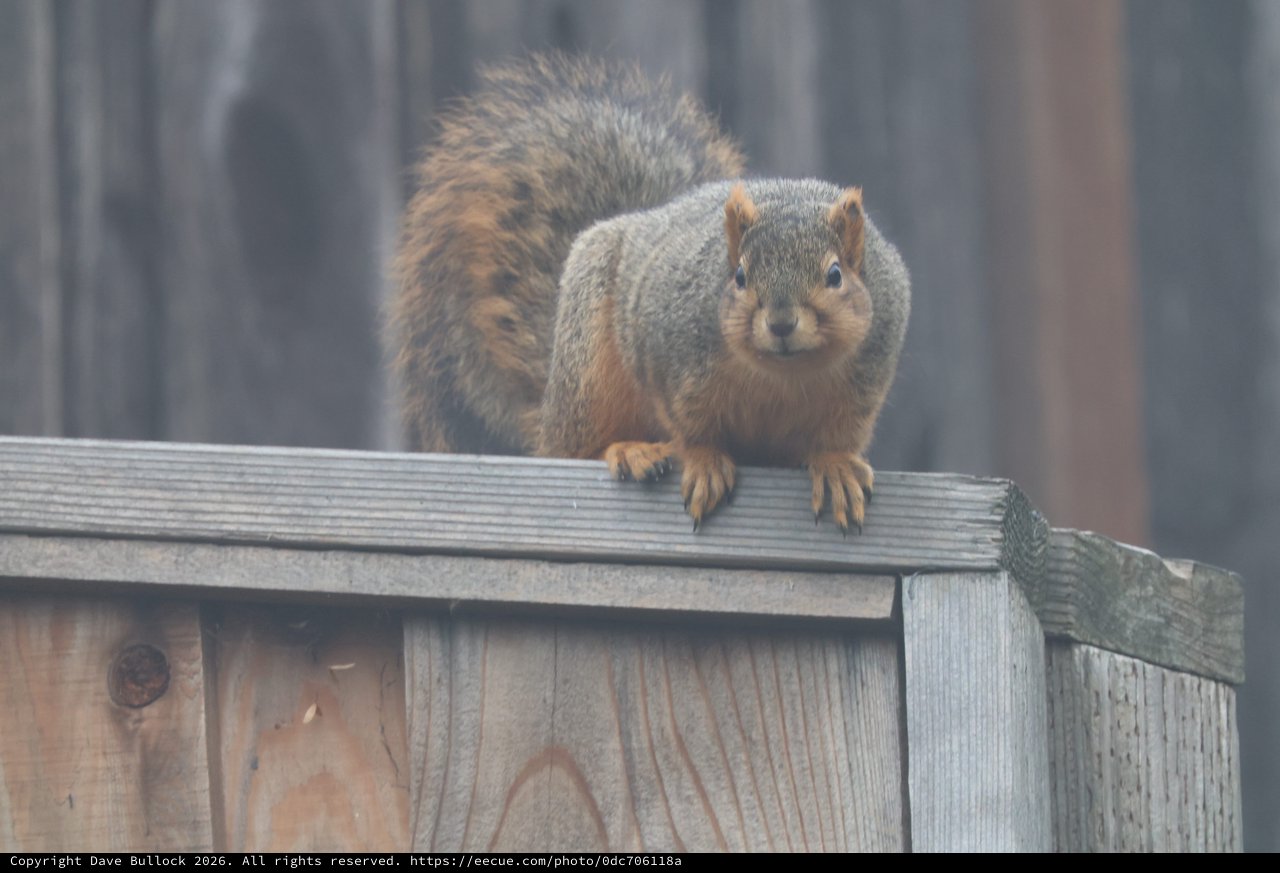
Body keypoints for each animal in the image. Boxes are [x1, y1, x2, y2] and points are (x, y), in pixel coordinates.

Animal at [391, 54, 910, 533]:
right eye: (739, 276)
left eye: (836, 275)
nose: (781, 323)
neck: (783, 375)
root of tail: (550, 409)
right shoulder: (668, 358)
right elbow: (690, 425)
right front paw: (703, 459)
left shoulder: (867, 377)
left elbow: (838, 436)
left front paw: (836, 466)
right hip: (589, 374)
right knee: (578, 448)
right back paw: (629, 450)